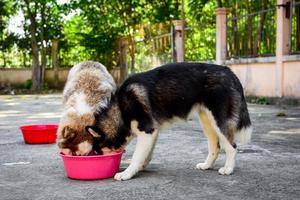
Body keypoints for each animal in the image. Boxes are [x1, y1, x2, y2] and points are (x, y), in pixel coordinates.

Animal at [88, 61, 252, 180]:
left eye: (97, 151)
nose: (95, 156)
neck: (121, 109)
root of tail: (229, 72)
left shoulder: (147, 131)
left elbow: (136, 157)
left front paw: (127, 173)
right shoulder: (152, 132)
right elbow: (146, 154)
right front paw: (140, 167)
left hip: (218, 122)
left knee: (232, 147)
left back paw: (228, 169)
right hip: (207, 122)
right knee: (215, 147)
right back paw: (206, 165)